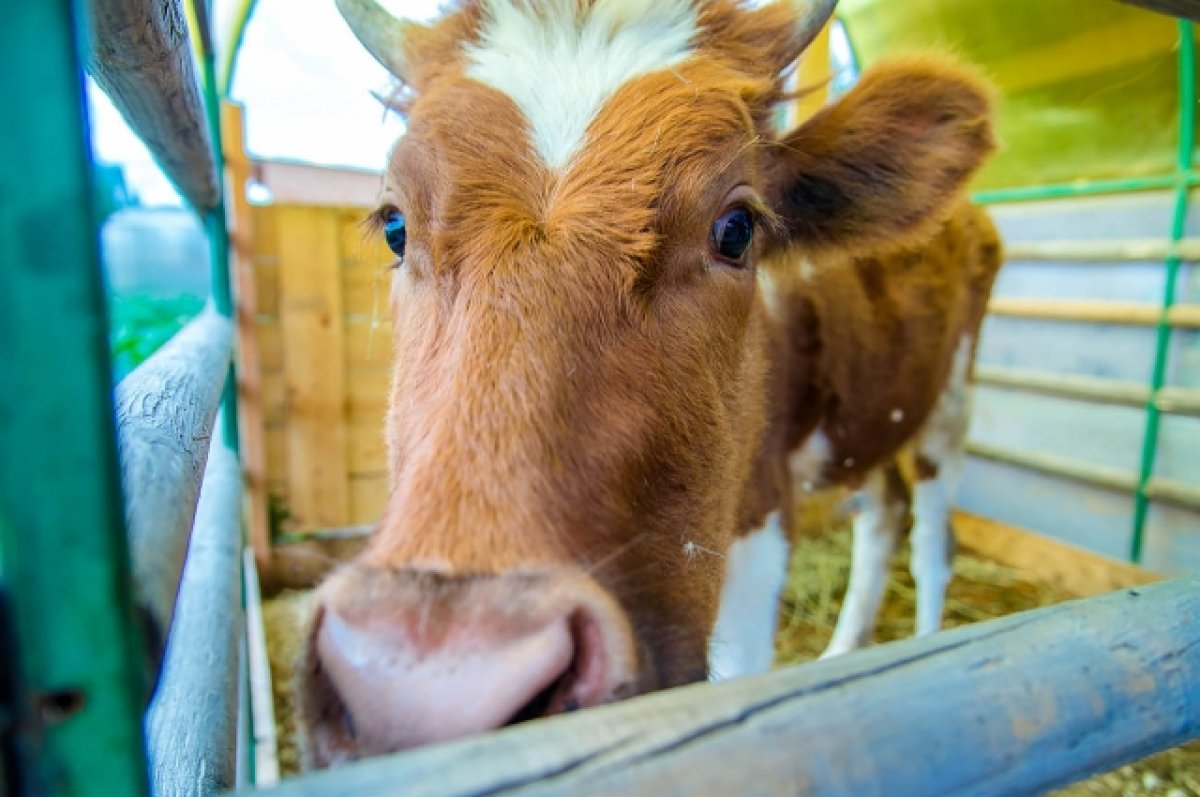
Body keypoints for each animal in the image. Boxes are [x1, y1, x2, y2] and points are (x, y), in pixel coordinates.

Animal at [300, 0, 1003, 768]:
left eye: (736, 229)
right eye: (394, 226)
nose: (427, 689)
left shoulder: (763, 520)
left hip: (952, 405)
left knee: (932, 538)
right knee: (884, 514)